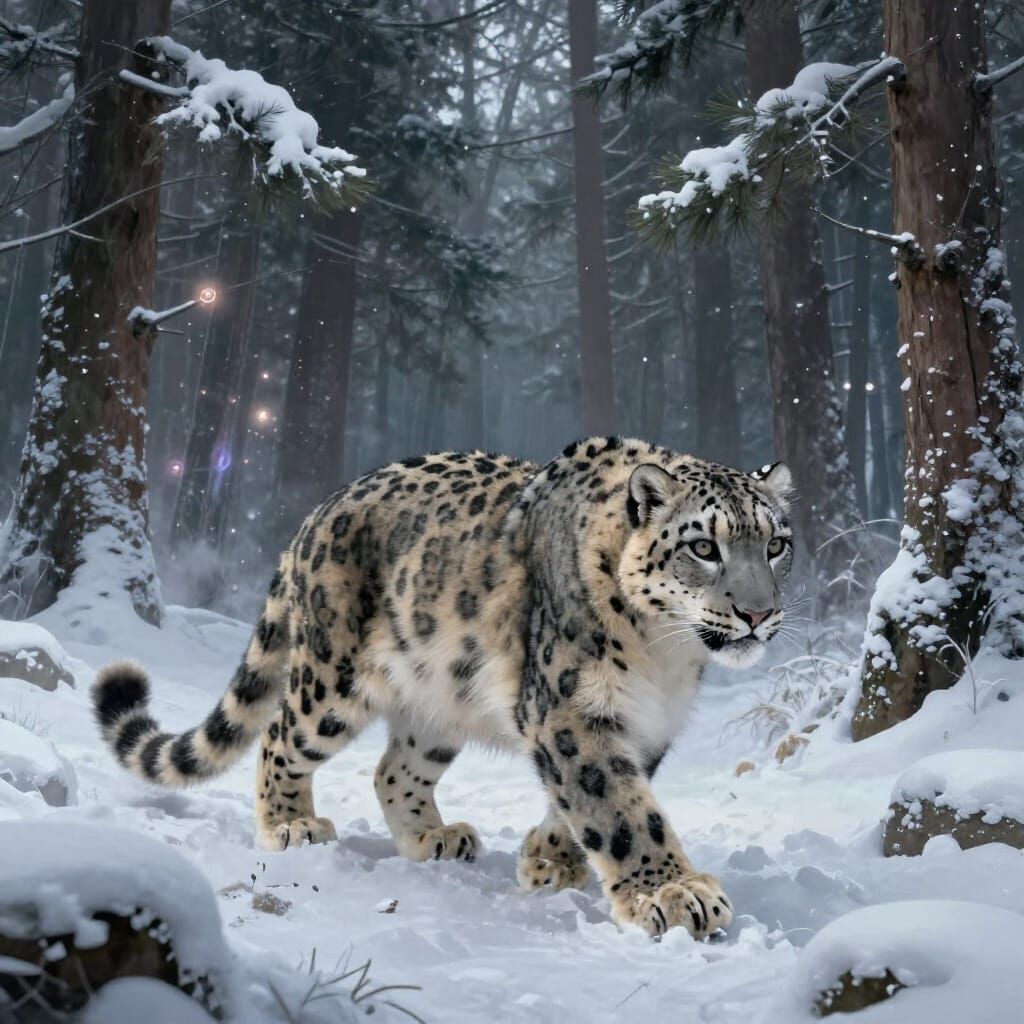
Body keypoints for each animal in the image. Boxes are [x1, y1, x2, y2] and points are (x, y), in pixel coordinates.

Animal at [92, 436, 793, 939]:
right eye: (704, 547)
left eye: (777, 544)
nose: (757, 613)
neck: (665, 657)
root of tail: (315, 514)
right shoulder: (569, 709)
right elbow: (618, 808)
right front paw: (672, 893)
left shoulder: (645, 725)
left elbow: (592, 801)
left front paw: (548, 860)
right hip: (330, 681)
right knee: (280, 737)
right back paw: (290, 825)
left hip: (437, 701)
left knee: (392, 769)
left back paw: (433, 837)